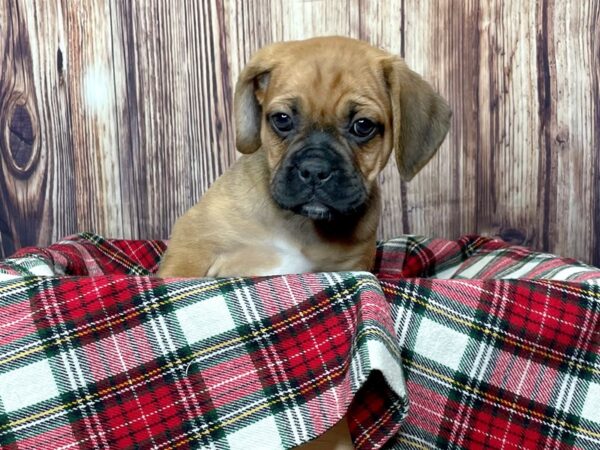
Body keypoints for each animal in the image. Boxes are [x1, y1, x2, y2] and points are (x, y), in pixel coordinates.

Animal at [159, 36, 450, 278]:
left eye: (363, 125)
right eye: (282, 119)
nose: (314, 170)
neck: (300, 225)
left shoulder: (350, 267)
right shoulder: (194, 242)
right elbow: (178, 275)